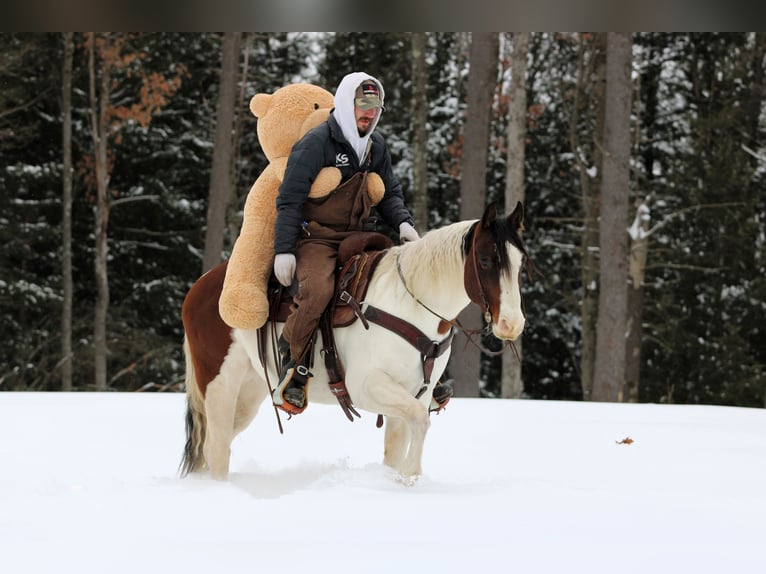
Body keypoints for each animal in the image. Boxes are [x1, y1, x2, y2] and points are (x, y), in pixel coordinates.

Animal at [180, 202, 531, 482]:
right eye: (485, 259)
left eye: (521, 262)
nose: (512, 323)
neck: (410, 303)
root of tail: (199, 287)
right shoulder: (366, 386)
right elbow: (420, 420)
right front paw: (410, 474)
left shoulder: (414, 392)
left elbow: (399, 441)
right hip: (219, 385)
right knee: (217, 447)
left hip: (249, 392)